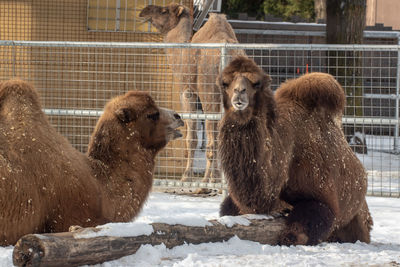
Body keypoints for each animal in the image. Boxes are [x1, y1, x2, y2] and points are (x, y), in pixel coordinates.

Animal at [141, 4, 247, 183]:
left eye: (164, 11)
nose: (144, 11)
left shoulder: (187, 92)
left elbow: (191, 138)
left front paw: (187, 176)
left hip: (210, 95)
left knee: (213, 139)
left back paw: (209, 179)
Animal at [217, 58, 374, 247]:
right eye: (225, 83)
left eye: (257, 83)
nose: (239, 93)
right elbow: (227, 210)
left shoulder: (322, 196)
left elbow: (299, 233)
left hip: (358, 219)